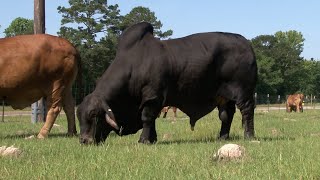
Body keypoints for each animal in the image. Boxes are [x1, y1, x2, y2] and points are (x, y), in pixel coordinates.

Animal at [77, 22, 258, 145]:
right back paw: (222, 137)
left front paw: (143, 140)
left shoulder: (152, 96)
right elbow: (152, 120)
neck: (134, 65)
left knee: (247, 111)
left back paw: (249, 136)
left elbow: (147, 118)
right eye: (78, 115)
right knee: (226, 115)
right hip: (224, 97)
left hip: (244, 92)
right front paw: (152, 139)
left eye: (93, 115)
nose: (84, 140)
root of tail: (246, 44)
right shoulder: (154, 101)